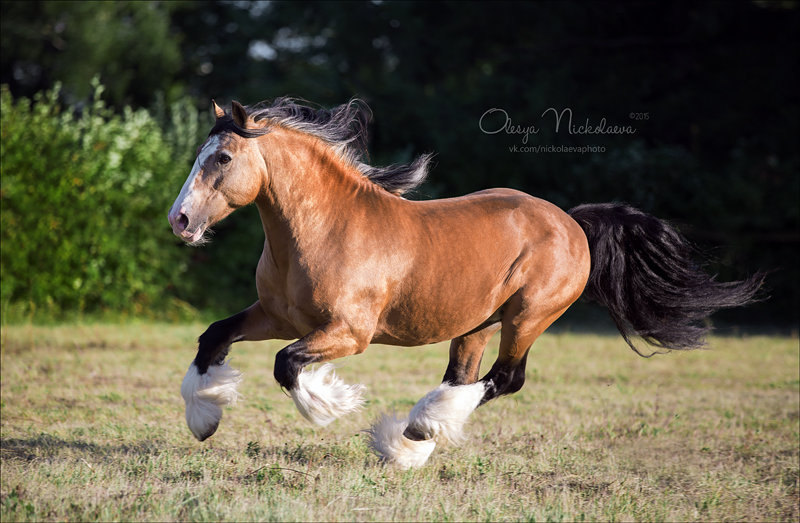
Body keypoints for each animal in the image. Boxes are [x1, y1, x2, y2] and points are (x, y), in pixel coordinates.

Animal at [170, 98, 764, 466]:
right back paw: (412, 442)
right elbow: (214, 336)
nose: (180, 220)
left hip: (528, 316)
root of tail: (572, 223)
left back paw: (411, 433)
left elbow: (287, 365)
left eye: (223, 157)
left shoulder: (348, 333)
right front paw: (204, 419)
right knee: (464, 377)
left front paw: (332, 404)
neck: (323, 230)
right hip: (478, 323)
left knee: (504, 379)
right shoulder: (276, 316)